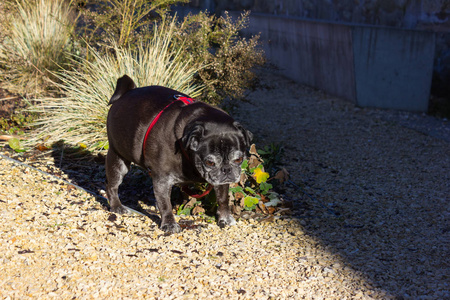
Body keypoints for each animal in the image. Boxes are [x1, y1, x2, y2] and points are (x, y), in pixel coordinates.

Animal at [106, 75, 253, 234]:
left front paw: (225, 218)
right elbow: (166, 205)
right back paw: (117, 207)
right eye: (210, 162)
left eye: (239, 159)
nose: (226, 170)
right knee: (112, 186)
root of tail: (127, 92)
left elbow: (223, 198)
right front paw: (169, 223)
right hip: (118, 159)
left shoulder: (220, 182)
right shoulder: (162, 180)